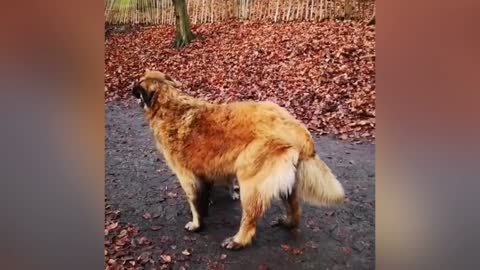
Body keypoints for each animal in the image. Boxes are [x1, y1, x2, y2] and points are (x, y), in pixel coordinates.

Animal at [129, 69, 344, 249]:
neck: (169, 104)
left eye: (139, 86)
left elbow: (195, 204)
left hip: (250, 181)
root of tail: (295, 127)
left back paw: (238, 240)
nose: (131, 88)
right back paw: (288, 222)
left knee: (250, 219)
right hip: (285, 180)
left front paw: (197, 224)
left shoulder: (187, 177)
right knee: (295, 208)